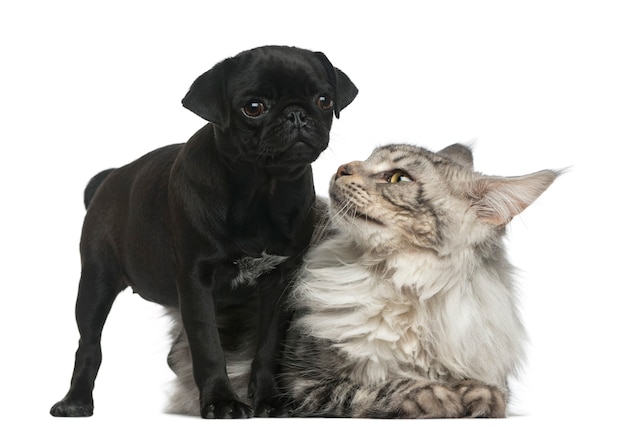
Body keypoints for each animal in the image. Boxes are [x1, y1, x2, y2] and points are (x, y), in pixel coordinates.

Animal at [48, 46, 356, 422]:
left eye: (324, 100)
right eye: (254, 107)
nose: (296, 114)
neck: (262, 189)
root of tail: (110, 177)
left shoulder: (280, 282)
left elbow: (268, 347)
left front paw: (269, 399)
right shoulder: (196, 281)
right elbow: (208, 345)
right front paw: (221, 401)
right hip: (96, 282)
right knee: (89, 344)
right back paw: (75, 401)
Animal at [165, 144, 556, 420]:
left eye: (398, 177)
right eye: (368, 159)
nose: (342, 167)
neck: (408, 289)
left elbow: (493, 391)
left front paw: (478, 395)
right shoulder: (303, 383)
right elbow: (382, 388)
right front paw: (440, 395)